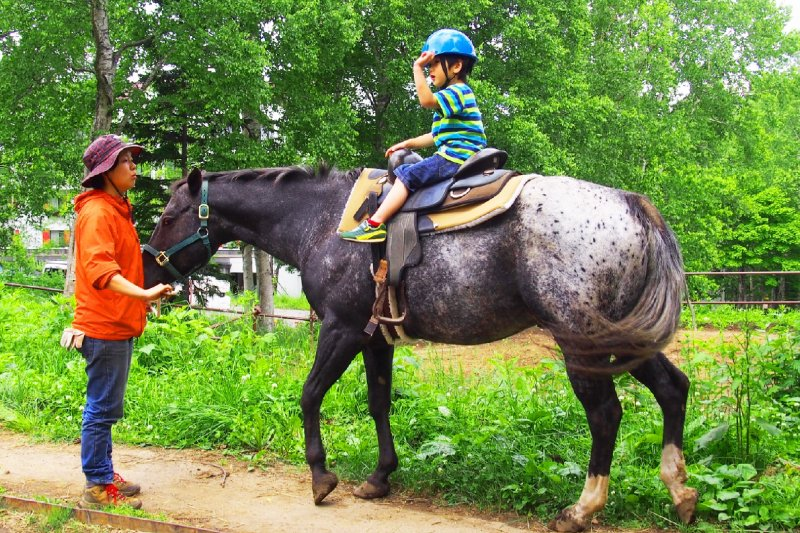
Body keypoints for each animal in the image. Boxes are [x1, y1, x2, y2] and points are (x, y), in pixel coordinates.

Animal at [142, 165, 697, 531]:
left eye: (169, 215)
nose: (146, 271)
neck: (323, 221)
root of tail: (634, 207)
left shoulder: (341, 329)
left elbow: (309, 394)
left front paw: (321, 476)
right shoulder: (373, 337)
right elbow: (378, 401)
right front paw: (380, 477)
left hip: (580, 339)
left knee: (605, 415)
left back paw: (581, 510)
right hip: (623, 337)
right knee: (673, 388)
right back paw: (680, 491)